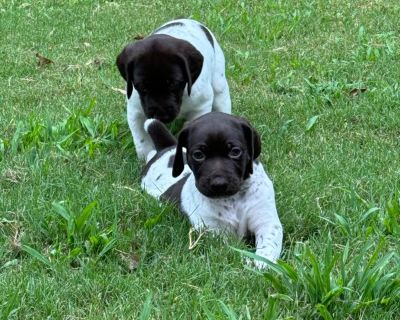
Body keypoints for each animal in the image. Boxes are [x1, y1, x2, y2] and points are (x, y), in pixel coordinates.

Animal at [115, 18, 231, 159]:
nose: (161, 114)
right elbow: (142, 141)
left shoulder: (200, 107)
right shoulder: (135, 111)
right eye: (142, 86)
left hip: (219, 83)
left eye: (173, 83)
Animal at [142, 112, 282, 268]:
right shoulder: (213, 231)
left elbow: (268, 247)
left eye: (235, 152)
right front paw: (244, 260)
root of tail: (166, 149)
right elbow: (231, 249)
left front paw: (261, 263)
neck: (233, 199)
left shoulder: (267, 222)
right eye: (198, 155)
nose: (218, 184)